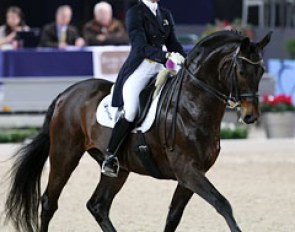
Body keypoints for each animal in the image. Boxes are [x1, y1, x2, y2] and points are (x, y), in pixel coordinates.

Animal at [4, 29, 272, 231]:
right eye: (241, 71)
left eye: (261, 71)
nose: (250, 116)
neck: (192, 105)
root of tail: (66, 94)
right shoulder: (187, 170)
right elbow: (222, 203)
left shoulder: (192, 174)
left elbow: (174, 216)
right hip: (64, 153)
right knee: (49, 202)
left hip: (118, 168)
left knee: (98, 205)